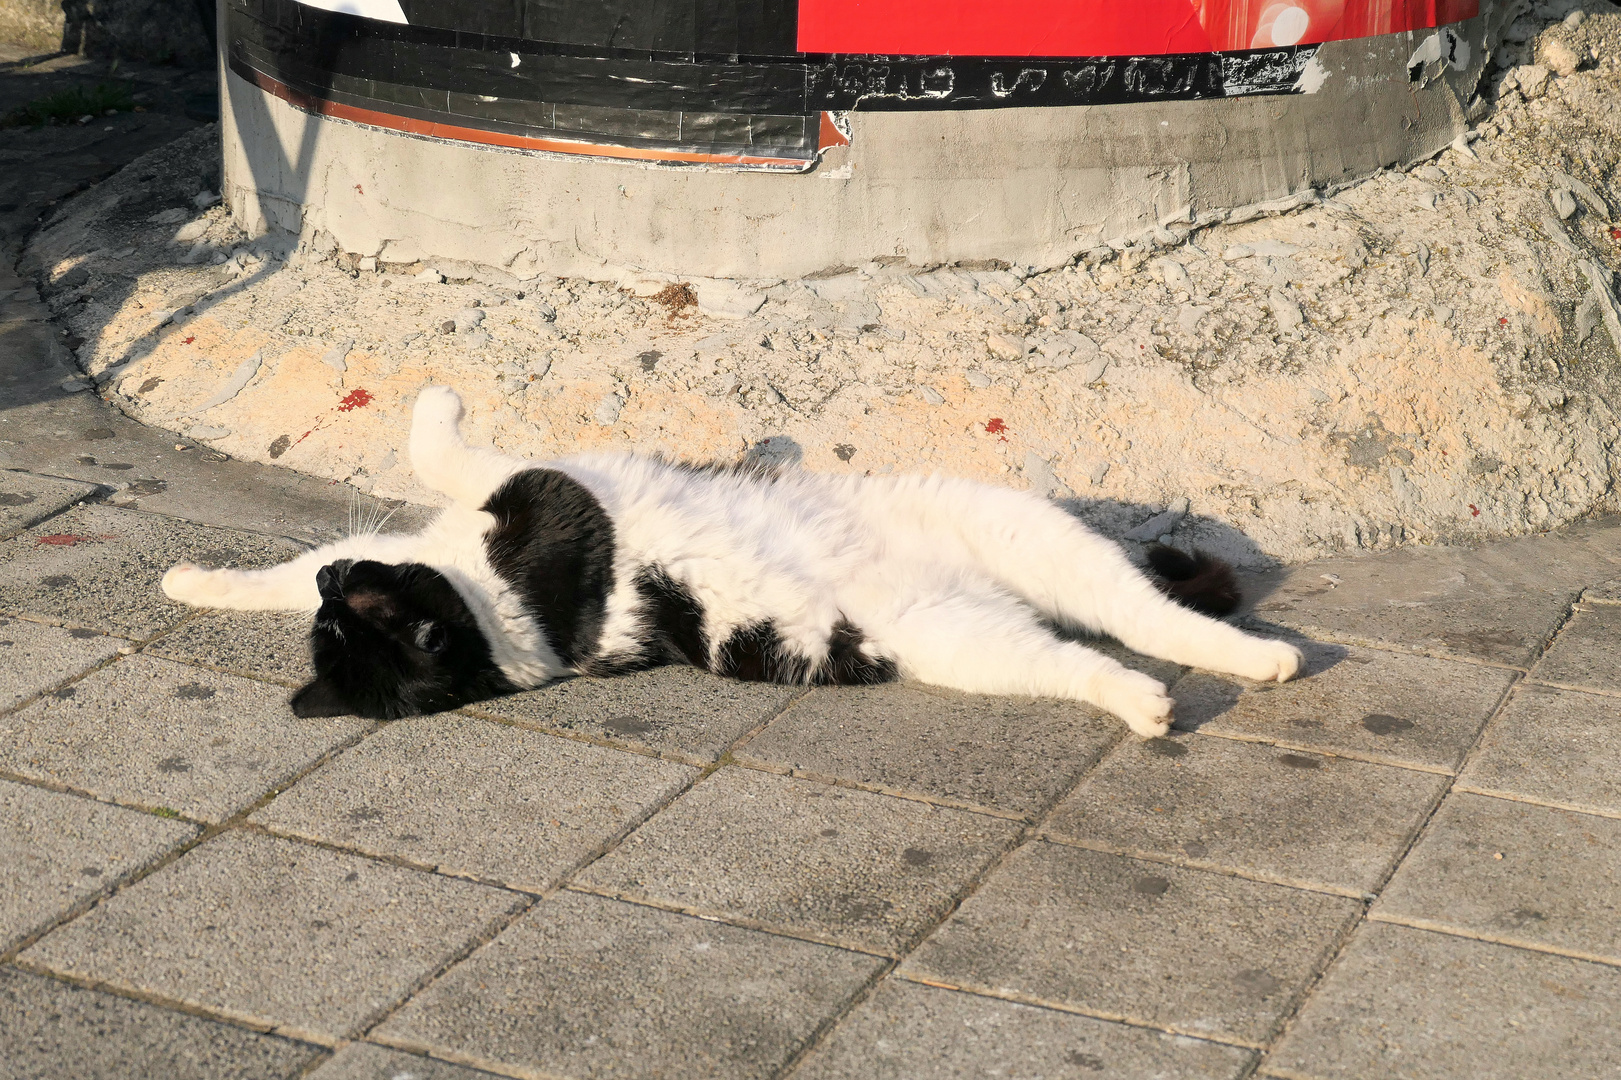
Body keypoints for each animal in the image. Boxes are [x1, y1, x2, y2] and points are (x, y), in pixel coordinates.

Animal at [161, 384, 1303, 732]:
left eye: (342, 609)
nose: (333, 586)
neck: (494, 624)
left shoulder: (490, 508)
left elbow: (417, 465)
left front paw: (188, 578)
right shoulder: (534, 495)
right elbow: (434, 456)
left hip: (1016, 538)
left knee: (1149, 611)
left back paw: (1256, 659)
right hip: (965, 636)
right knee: (1104, 649)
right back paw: (1166, 699)